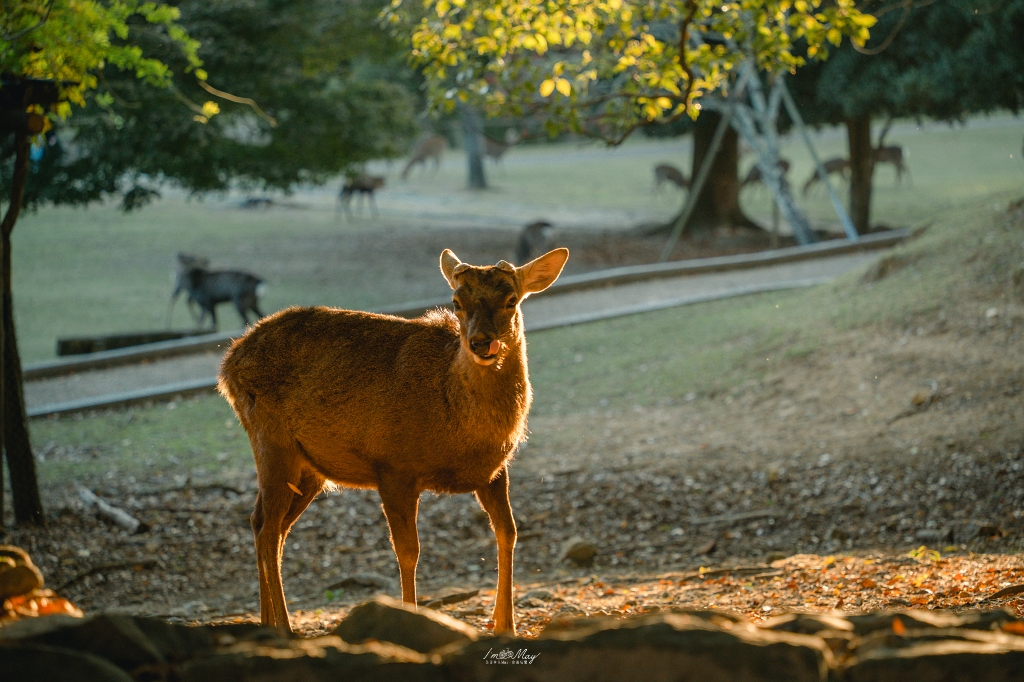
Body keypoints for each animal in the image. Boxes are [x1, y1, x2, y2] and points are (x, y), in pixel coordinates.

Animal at [218, 246, 569, 634]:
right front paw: (410, 617)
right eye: (456, 302)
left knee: (264, 523)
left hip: (307, 466)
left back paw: (265, 623)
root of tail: (228, 365)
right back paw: (284, 627)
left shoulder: (494, 470)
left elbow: (508, 532)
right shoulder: (393, 466)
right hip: (271, 441)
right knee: (268, 530)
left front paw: (506, 624)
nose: (481, 343)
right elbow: (408, 551)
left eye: (511, 299)